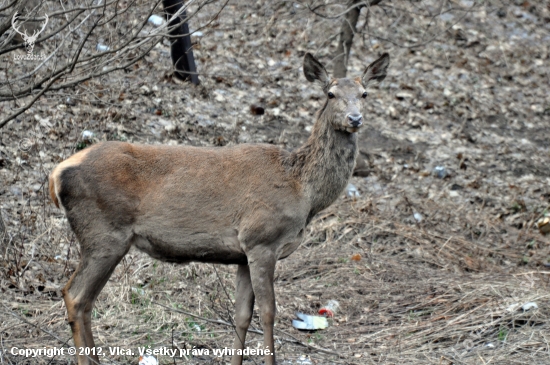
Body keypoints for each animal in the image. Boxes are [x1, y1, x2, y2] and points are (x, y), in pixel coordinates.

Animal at [49, 52, 390, 364]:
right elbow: (268, 313)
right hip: (104, 233)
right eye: (330, 94)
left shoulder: (243, 252)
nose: (355, 119)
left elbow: (242, 316)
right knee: (76, 295)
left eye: (364, 93)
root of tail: (56, 173)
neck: (303, 191)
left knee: (81, 299)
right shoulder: (262, 239)